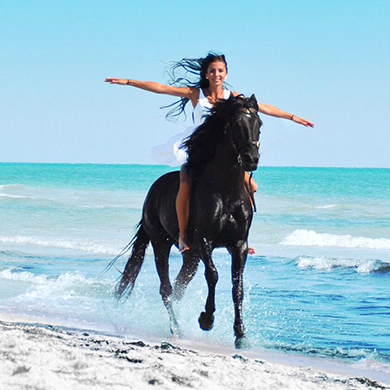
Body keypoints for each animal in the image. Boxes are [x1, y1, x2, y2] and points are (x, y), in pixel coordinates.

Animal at [115, 94, 262, 348]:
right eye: (236, 124)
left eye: (259, 125)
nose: (251, 159)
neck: (226, 190)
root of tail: (153, 191)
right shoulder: (204, 241)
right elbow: (213, 275)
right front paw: (206, 320)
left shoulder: (239, 245)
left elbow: (237, 287)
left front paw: (240, 334)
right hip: (161, 243)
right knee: (166, 288)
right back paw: (176, 328)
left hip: (190, 255)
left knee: (178, 288)